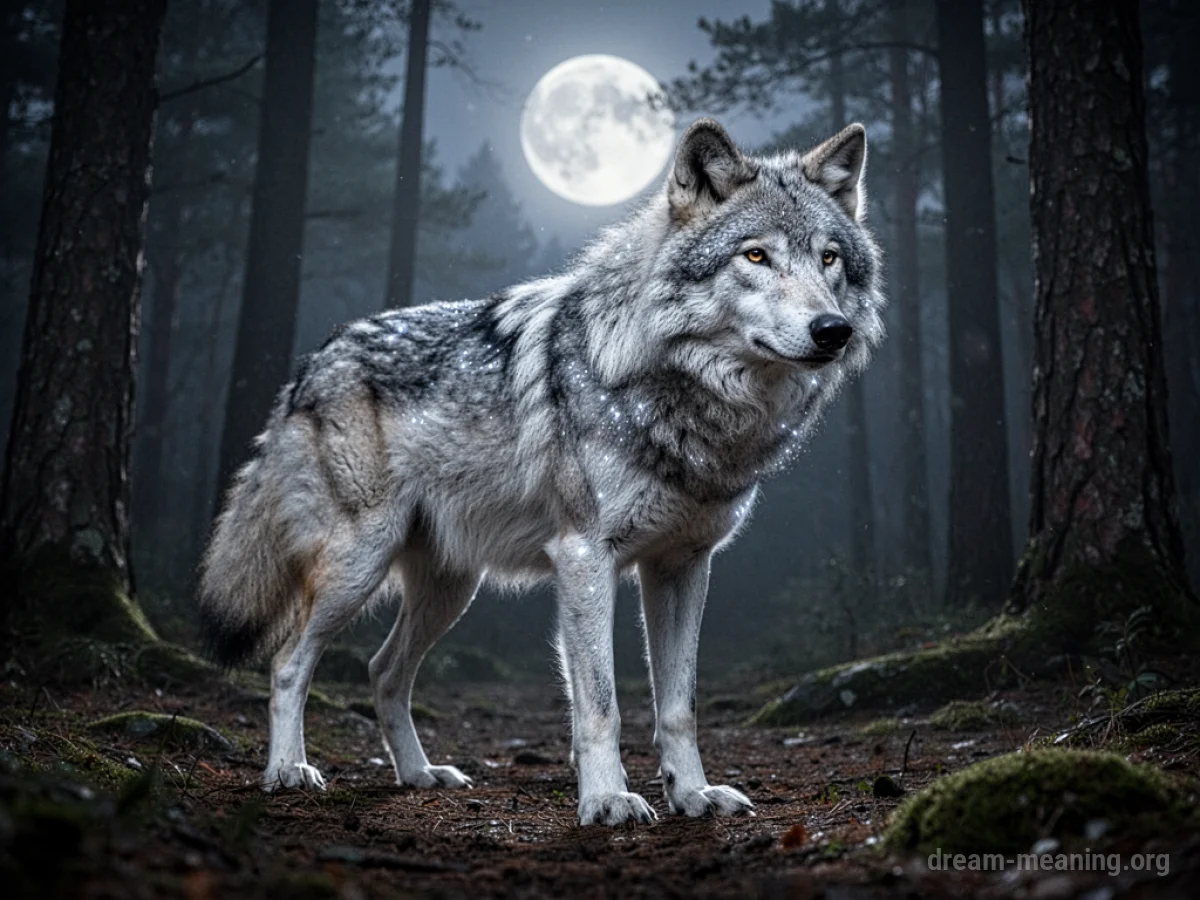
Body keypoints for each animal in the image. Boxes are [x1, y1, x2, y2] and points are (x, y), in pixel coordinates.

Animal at [199, 119, 884, 826]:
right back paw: (287, 770)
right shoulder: (585, 557)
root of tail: (313, 361)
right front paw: (608, 799)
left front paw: (693, 794)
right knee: (287, 662)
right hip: (358, 566)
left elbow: (678, 706)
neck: (680, 400)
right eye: (755, 257)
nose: (832, 329)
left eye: (829, 258)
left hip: (452, 589)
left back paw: (419, 774)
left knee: (384, 671)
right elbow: (601, 707)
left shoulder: (684, 566)